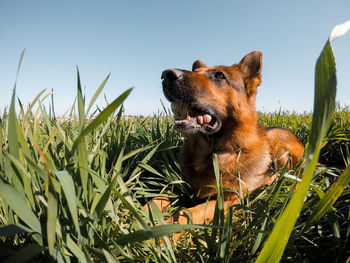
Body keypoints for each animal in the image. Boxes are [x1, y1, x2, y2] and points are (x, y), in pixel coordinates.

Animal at [150, 50, 304, 240]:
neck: (213, 152)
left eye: (219, 75)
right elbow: (157, 198)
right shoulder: (180, 186)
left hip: (277, 141)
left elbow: (188, 212)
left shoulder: (228, 199)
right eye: (196, 71)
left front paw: (162, 234)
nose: (166, 74)